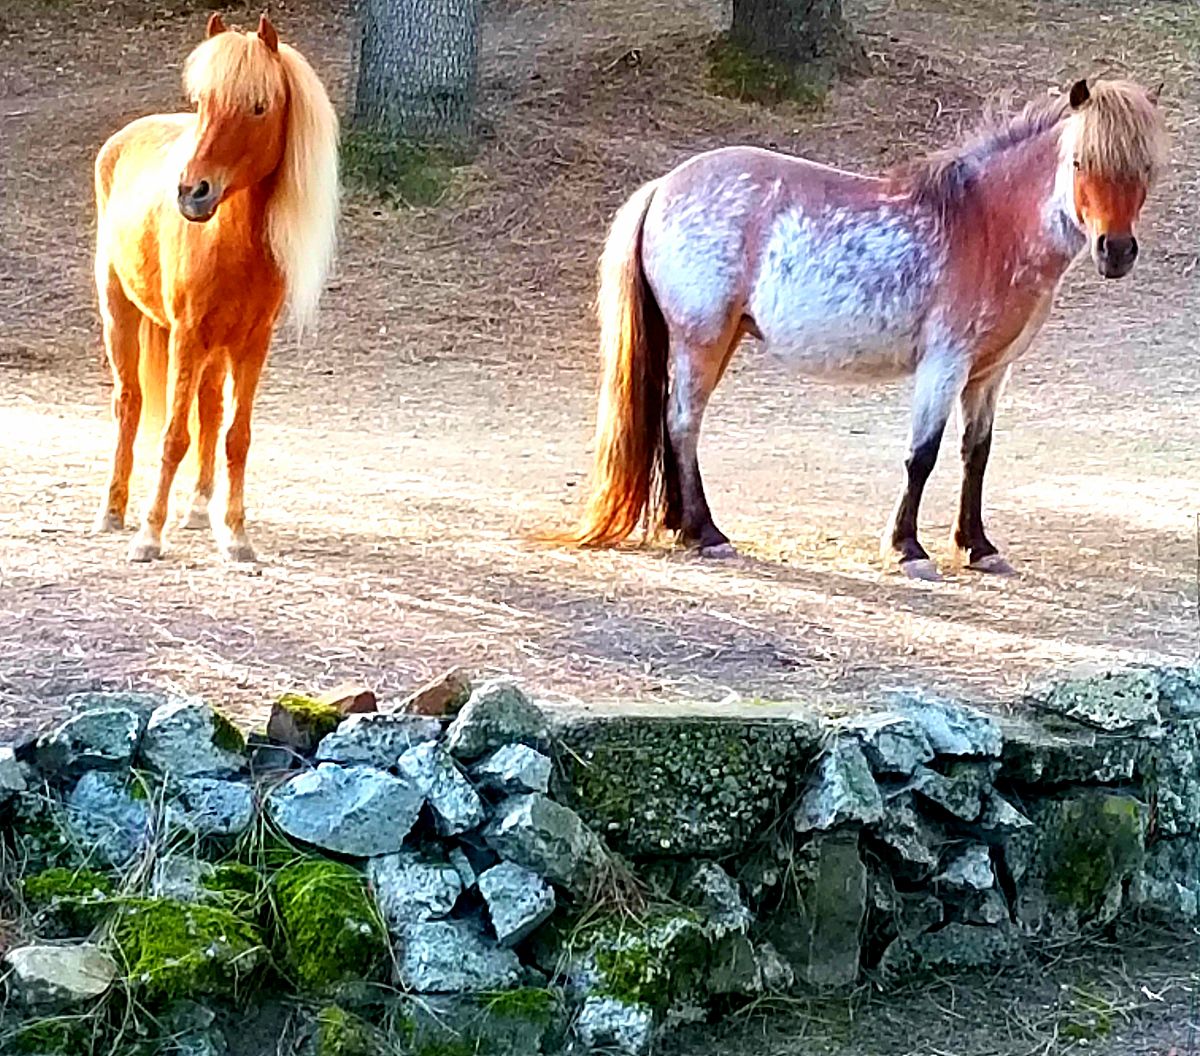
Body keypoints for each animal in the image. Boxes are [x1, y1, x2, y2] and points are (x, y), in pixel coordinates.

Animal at [92, 13, 338, 563]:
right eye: (202, 102)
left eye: (259, 106)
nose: (191, 193)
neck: (231, 240)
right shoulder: (187, 337)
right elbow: (172, 437)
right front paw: (149, 536)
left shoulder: (252, 343)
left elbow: (236, 436)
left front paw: (237, 536)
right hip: (122, 313)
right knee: (129, 404)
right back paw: (113, 512)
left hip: (215, 347)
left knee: (209, 410)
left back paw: (200, 509)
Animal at [564, 78, 1166, 580]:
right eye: (1081, 161)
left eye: (1144, 168)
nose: (1116, 251)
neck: (988, 225)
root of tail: (664, 187)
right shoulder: (944, 365)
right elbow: (922, 454)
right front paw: (908, 549)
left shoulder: (989, 374)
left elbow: (976, 454)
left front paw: (977, 546)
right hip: (702, 340)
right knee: (684, 424)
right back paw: (707, 533)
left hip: (718, 338)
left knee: (673, 423)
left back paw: (681, 527)